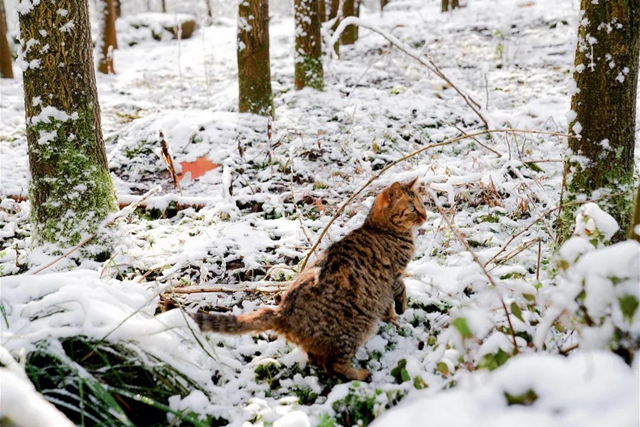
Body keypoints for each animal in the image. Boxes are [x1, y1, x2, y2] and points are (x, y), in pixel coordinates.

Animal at [172, 179, 428, 380]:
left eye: (423, 204)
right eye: (413, 208)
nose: (426, 215)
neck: (380, 228)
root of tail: (282, 313)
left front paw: (394, 317)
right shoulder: (394, 275)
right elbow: (400, 292)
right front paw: (399, 312)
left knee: (318, 361)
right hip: (354, 331)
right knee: (334, 365)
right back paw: (360, 375)